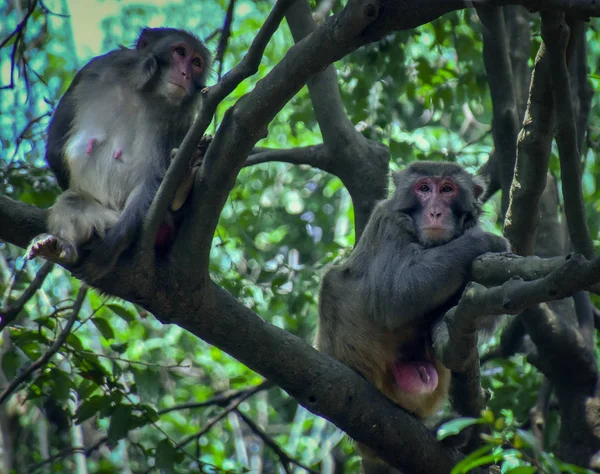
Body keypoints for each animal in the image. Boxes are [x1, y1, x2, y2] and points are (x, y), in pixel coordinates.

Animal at [27, 27, 212, 280]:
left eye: (196, 63)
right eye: (180, 52)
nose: (184, 73)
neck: (143, 90)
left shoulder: (182, 119)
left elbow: (151, 178)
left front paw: (109, 249)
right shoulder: (96, 68)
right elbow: (55, 146)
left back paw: (183, 182)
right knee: (72, 201)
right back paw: (62, 246)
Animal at [316, 161, 508, 472]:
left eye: (447, 189)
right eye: (424, 188)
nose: (435, 212)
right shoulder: (388, 223)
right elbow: (395, 295)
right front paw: (483, 240)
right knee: (335, 282)